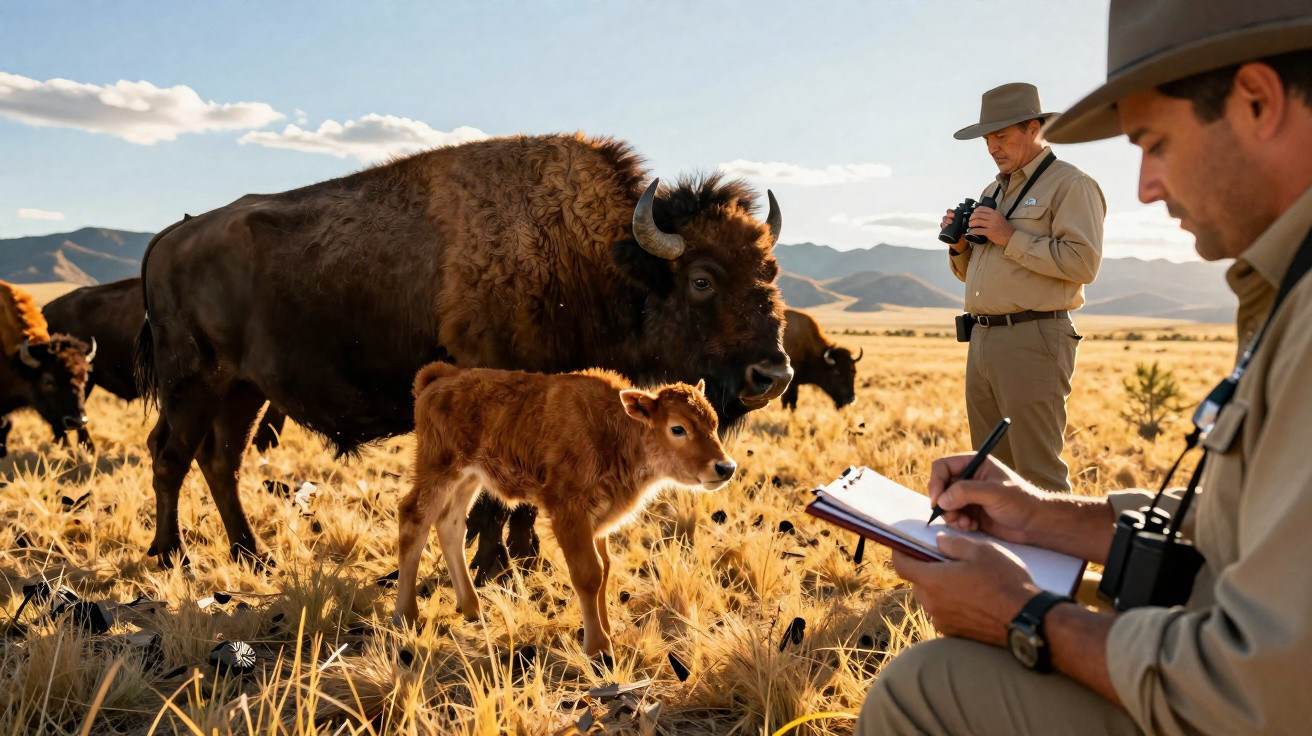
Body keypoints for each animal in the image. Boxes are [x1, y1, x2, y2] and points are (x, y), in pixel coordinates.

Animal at [136, 133, 792, 566]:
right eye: (702, 278)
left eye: (770, 271)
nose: (773, 373)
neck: (592, 254)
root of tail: (171, 235)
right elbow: (496, 497)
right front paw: (494, 561)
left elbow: (522, 496)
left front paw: (523, 561)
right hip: (193, 382)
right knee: (171, 455)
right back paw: (171, 556)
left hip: (241, 389)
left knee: (220, 460)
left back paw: (252, 555)